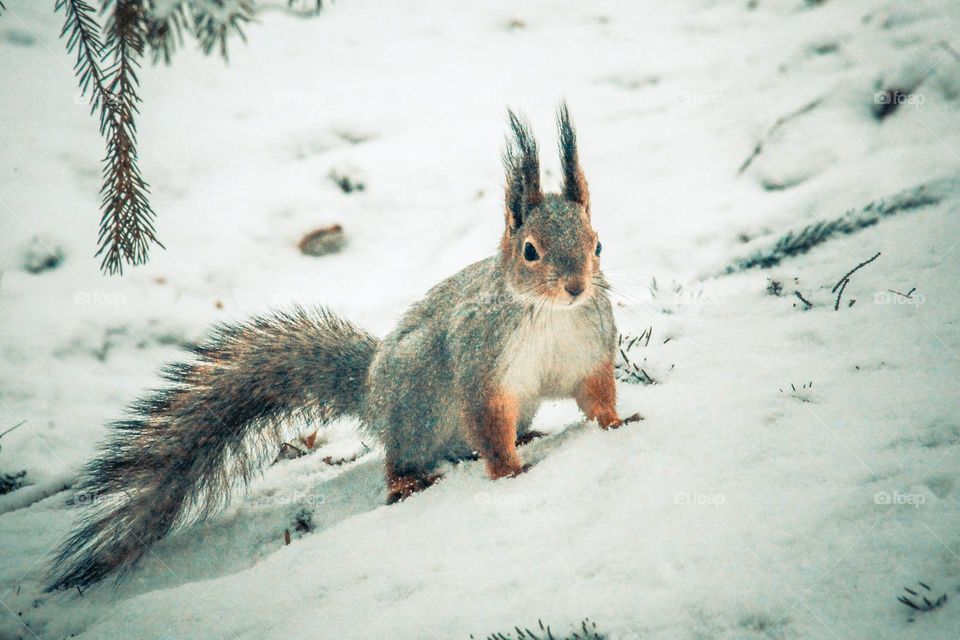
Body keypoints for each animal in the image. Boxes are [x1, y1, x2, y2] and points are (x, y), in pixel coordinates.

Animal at [46, 103, 629, 591]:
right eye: (530, 251)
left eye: (599, 244)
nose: (576, 286)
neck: (552, 315)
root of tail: (372, 393)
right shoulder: (481, 367)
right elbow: (488, 421)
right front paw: (509, 472)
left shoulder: (590, 354)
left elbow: (597, 397)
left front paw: (619, 426)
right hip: (417, 399)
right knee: (403, 458)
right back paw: (411, 481)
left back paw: (527, 437)